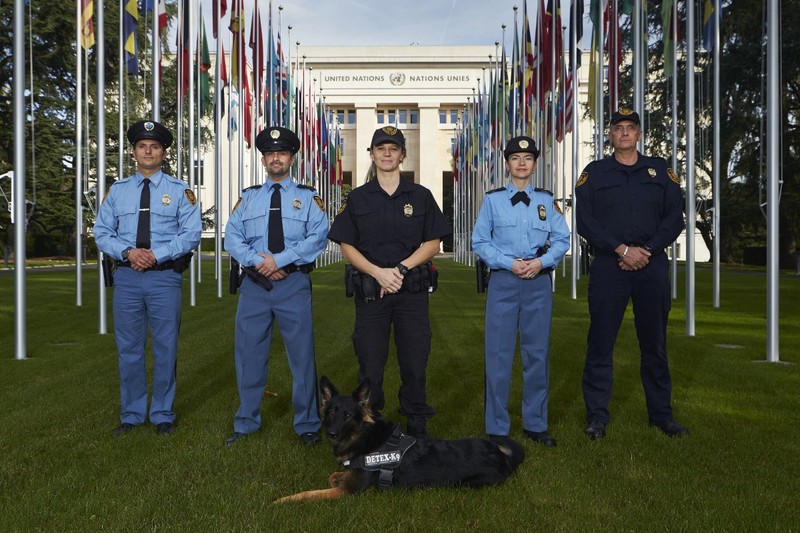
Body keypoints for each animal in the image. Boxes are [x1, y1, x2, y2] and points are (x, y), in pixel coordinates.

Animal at [276, 372, 524, 500]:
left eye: (347, 415)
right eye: (331, 413)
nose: (331, 434)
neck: (365, 438)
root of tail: (502, 455)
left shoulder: (346, 492)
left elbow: (307, 494)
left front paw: (281, 501)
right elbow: (333, 475)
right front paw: (337, 474)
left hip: (469, 484)